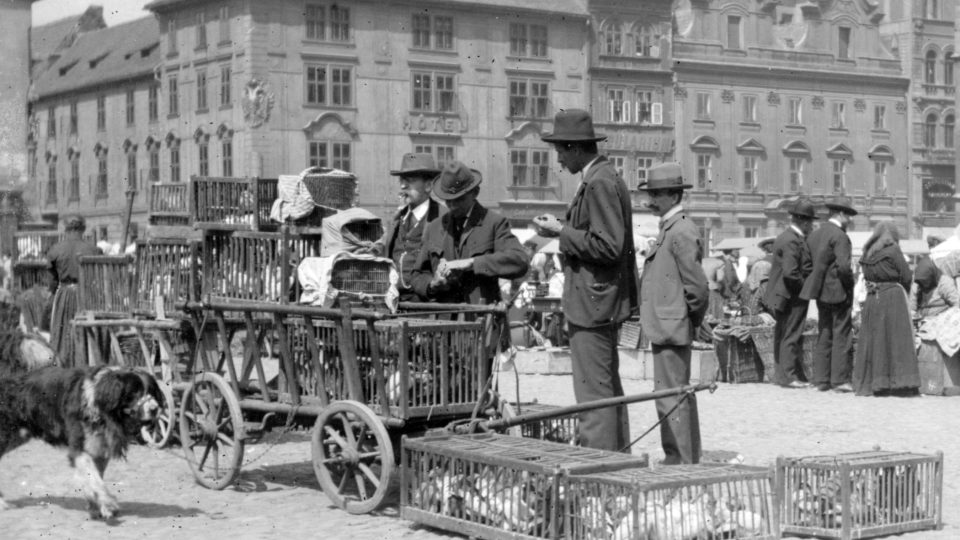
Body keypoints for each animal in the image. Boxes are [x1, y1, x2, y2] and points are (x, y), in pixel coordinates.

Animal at [0, 368, 162, 520]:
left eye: (151, 391)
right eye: (134, 393)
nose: (155, 409)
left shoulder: (99, 449)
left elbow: (95, 477)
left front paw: (97, 506)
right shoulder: (79, 448)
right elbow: (94, 478)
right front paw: (108, 503)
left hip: (20, 435)